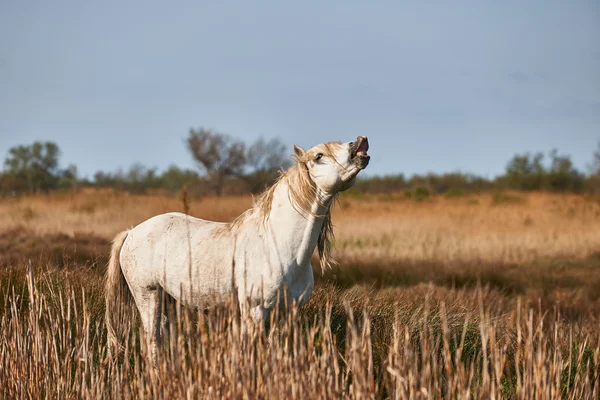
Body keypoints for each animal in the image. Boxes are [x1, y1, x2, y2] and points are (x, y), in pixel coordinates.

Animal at [106, 136, 370, 358]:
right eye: (319, 156)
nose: (360, 142)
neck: (279, 245)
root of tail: (132, 232)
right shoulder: (255, 310)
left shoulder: (287, 313)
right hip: (147, 295)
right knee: (152, 339)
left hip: (168, 299)